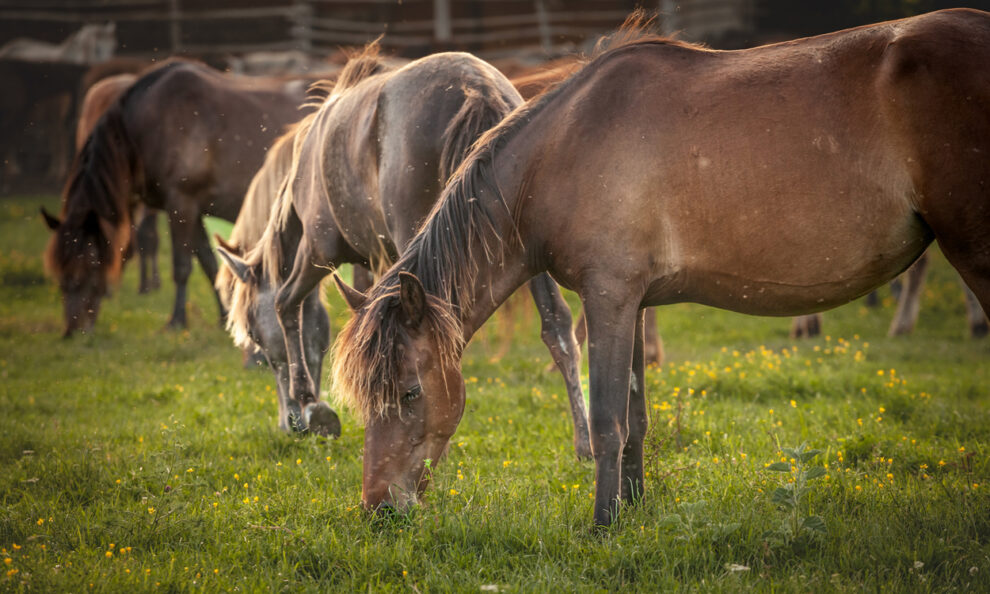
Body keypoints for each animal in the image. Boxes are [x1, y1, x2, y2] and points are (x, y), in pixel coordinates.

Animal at [41, 60, 310, 338]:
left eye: (88, 268)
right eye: (60, 276)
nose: (73, 331)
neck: (149, 123)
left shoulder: (181, 203)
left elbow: (182, 267)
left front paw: (177, 320)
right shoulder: (195, 209)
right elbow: (209, 263)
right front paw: (224, 317)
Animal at [218, 47, 588, 448]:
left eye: (255, 336)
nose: (291, 424)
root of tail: (476, 89)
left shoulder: (318, 251)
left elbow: (286, 304)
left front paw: (312, 405)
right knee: (557, 325)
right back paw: (585, 441)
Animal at [334, 10, 990, 528]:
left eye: (411, 391)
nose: (377, 508)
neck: (564, 146)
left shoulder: (608, 298)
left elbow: (606, 422)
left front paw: (602, 525)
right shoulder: (634, 301)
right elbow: (636, 419)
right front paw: (633, 508)